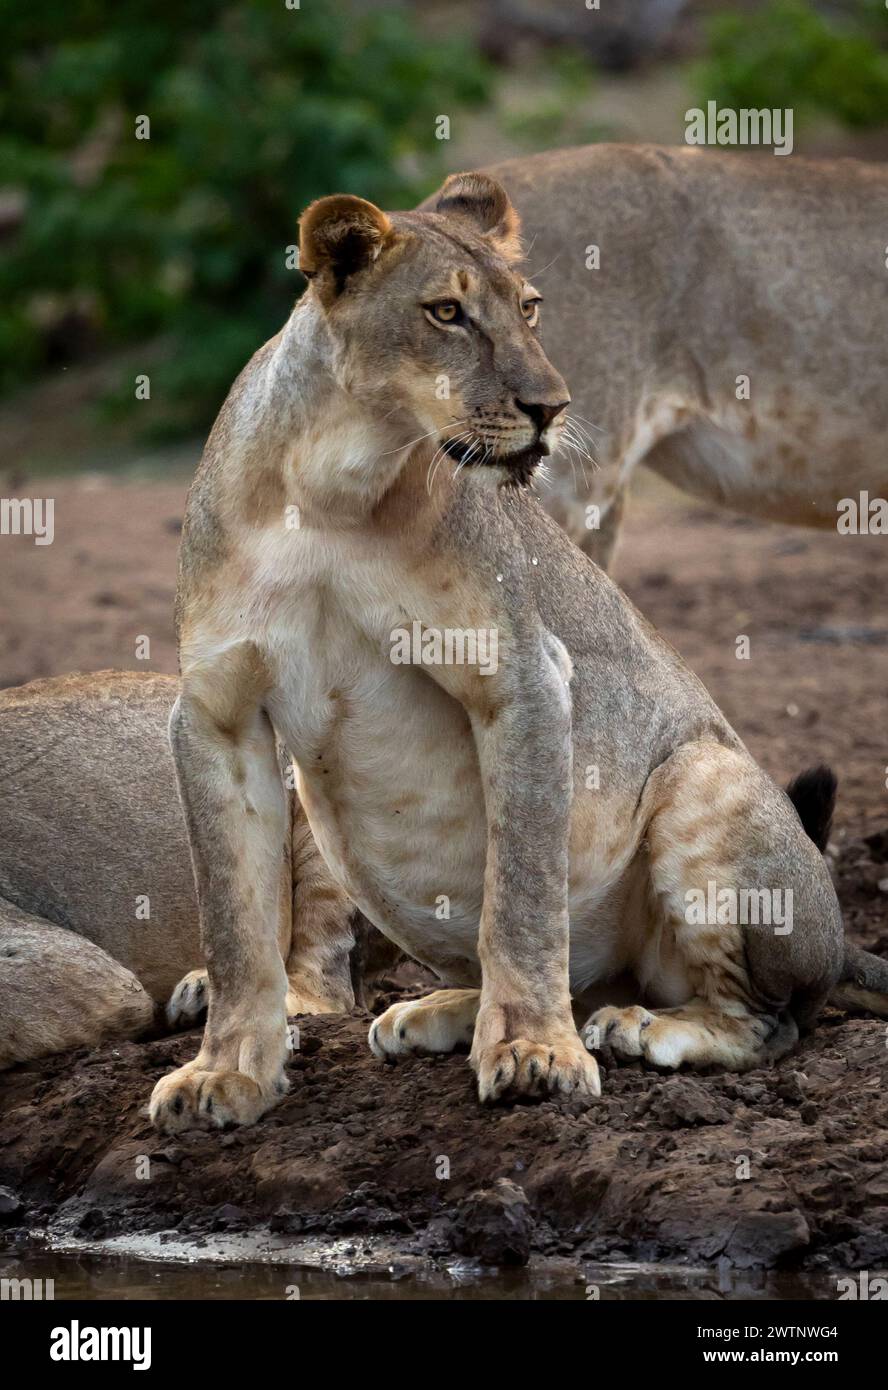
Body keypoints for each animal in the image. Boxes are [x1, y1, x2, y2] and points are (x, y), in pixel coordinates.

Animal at [114, 170, 883, 1128]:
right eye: (447, 313)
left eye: (530, 307)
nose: (552, 408)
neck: (333, 486)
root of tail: (843, 939)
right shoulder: (216, 711)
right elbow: (235, 922)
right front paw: (224, 1073)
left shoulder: (521, 673)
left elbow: (520, 894)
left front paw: (533, 1053)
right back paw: (436, 1012)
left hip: (704, 779)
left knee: (767, 1020)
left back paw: (640, 1028)